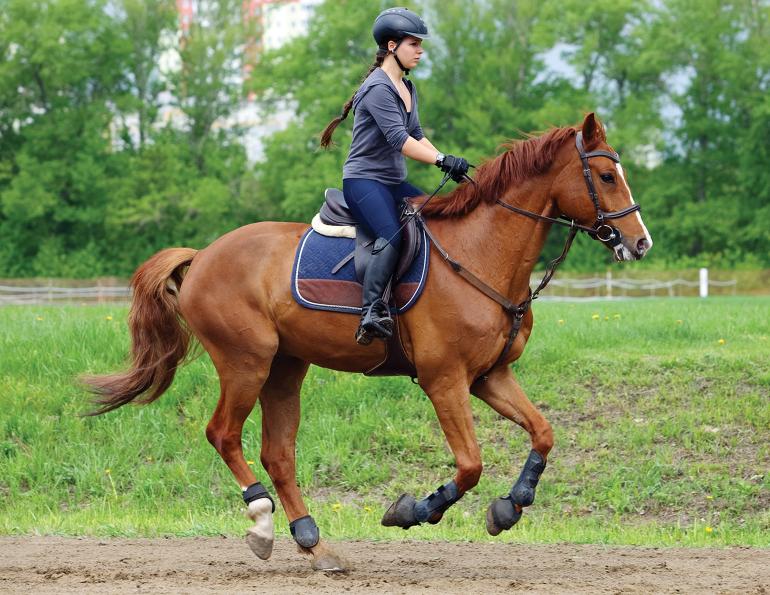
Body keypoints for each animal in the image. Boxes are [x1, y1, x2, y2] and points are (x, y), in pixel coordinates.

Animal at [84, 113, 652, 572]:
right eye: (606, 176)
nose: (640, 243)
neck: (482, 252)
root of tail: (202, 255)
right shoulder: (444, 381)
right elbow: (470, 465)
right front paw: (412, 510)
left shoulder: (491, 377)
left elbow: (543, 434)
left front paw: (509, 507)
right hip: (247, 362)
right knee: (224, 435)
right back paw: (263, 523)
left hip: (285, 367)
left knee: (278, 454)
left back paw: (313, 543)